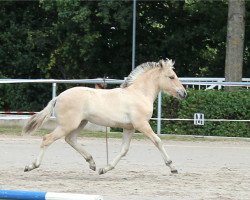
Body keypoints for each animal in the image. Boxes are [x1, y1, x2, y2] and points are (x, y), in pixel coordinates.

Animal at [23, 58, 187, 174]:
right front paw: (172, 167)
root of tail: (58, 97)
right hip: (67, 125)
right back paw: (31, 166)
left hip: (80, 123)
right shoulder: (142, 125)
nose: (184, 93)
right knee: (47, 139)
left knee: (70, 139)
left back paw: (92, 163)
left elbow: (124, 150)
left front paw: (105, 169)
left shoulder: (130, 128)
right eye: (171, 77)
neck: (139, 94)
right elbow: (158, 141)